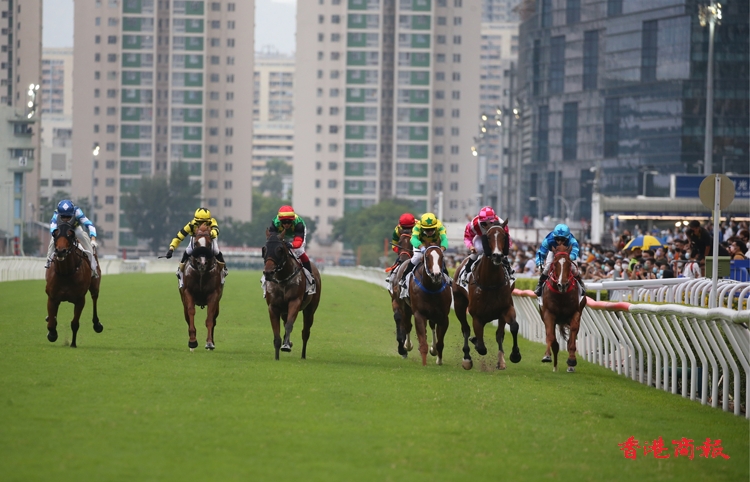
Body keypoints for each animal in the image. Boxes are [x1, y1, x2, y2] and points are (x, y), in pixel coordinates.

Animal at [262, 230, 322, 360]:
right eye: (264, 248)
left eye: (279, 249)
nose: (268, 273)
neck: (282, 279)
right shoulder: (273, 307)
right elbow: (277, 333)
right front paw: (277, 356)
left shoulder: (295, 302)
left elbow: (289, 325)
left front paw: (286, 346)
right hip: (284, 311)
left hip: (310, 310)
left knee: (305, 332)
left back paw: (303, 355)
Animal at [452, 220, 521, 370]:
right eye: (488, 236)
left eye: (504, 236)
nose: (497, 255)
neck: (490, 283)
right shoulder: (477, 316)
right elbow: (481, 347)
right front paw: (475, 343)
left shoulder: (506, 308)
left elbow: (513, 327)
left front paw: (515, 355)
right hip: (459, 304)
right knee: (465, 329)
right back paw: (467, 357)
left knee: (499, 334)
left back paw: (501, 360)